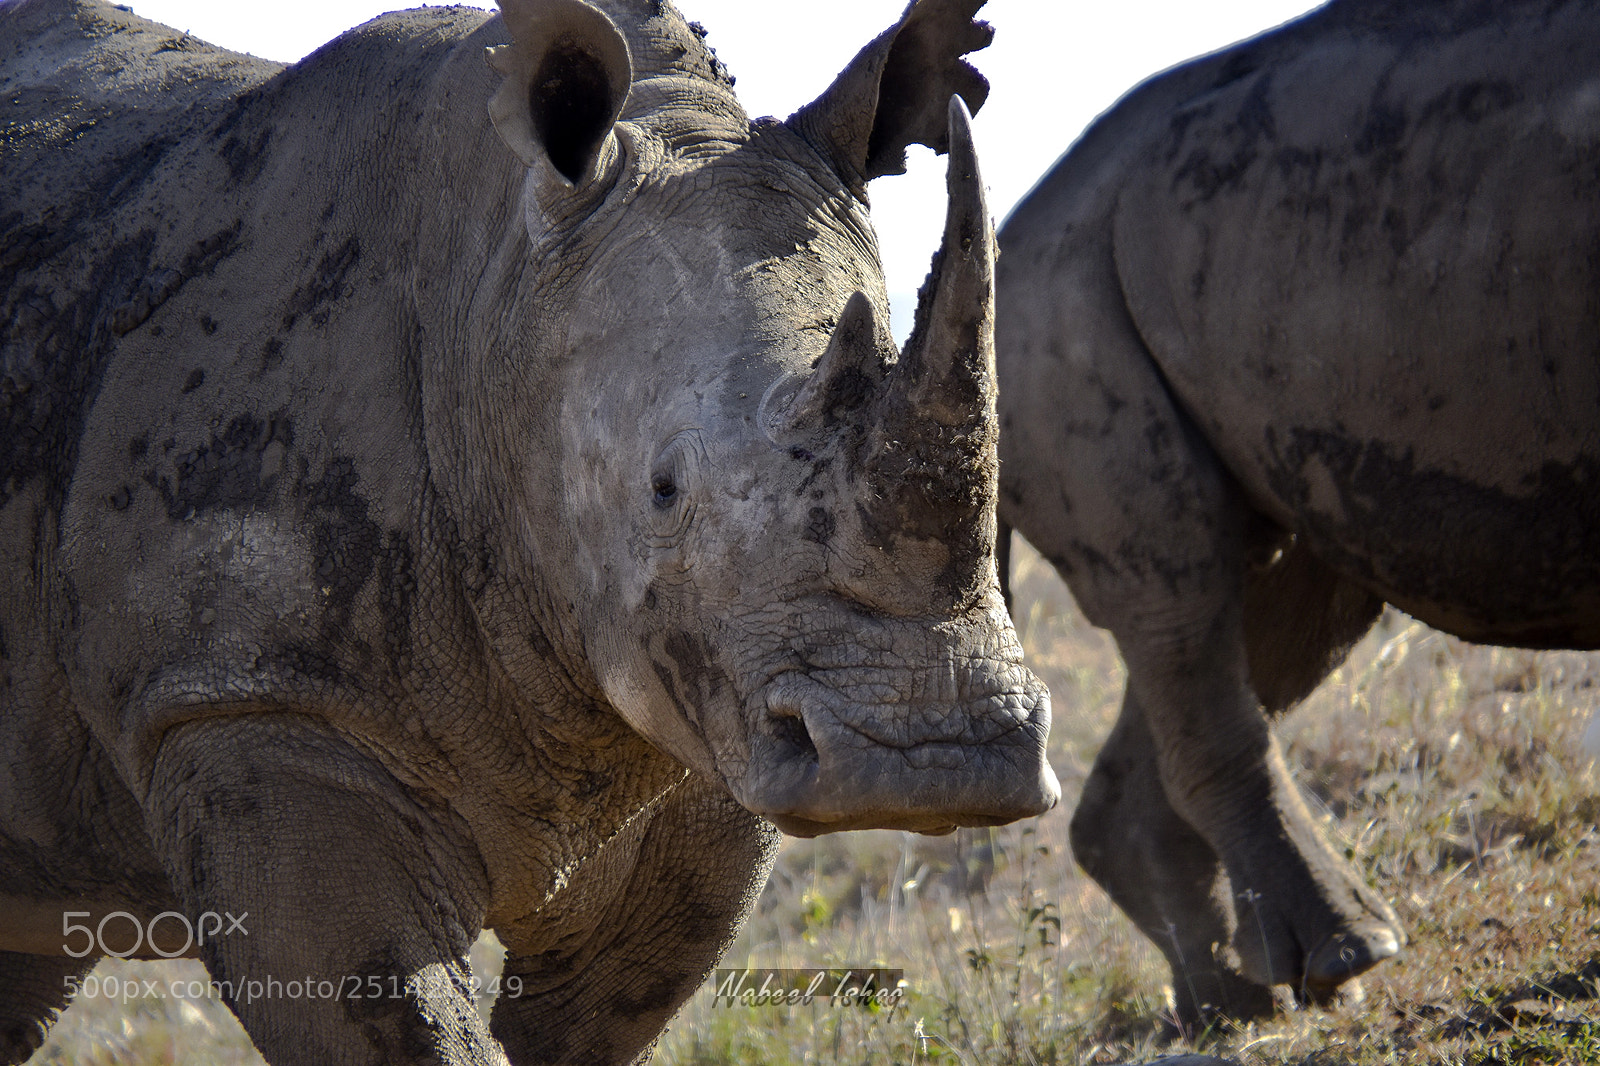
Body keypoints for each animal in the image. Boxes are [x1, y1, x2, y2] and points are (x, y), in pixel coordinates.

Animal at [0, 0, 1060, 1060]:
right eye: (664, 489)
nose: (931, 757)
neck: (496, 298)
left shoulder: (704, 739)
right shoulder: (252, 696)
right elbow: (398, 1017)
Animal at [995, 0, 1600, 1026]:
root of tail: (1000, 240)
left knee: (1275, 593)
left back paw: (1234, 1002)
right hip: (1062, 299)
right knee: (1180, 596)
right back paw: (1348, 959)